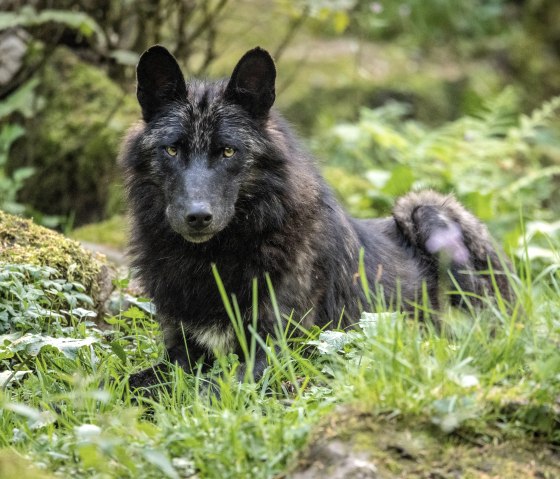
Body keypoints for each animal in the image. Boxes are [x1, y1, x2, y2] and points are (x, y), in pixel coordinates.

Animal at [121, 47, 512, 388]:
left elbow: (211, 391)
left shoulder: (276, 351)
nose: (197, 216)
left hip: (424, 209)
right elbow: (130, 383)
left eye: (228, 151)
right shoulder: (181, 353)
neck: (212, 260)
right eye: (173, 149)